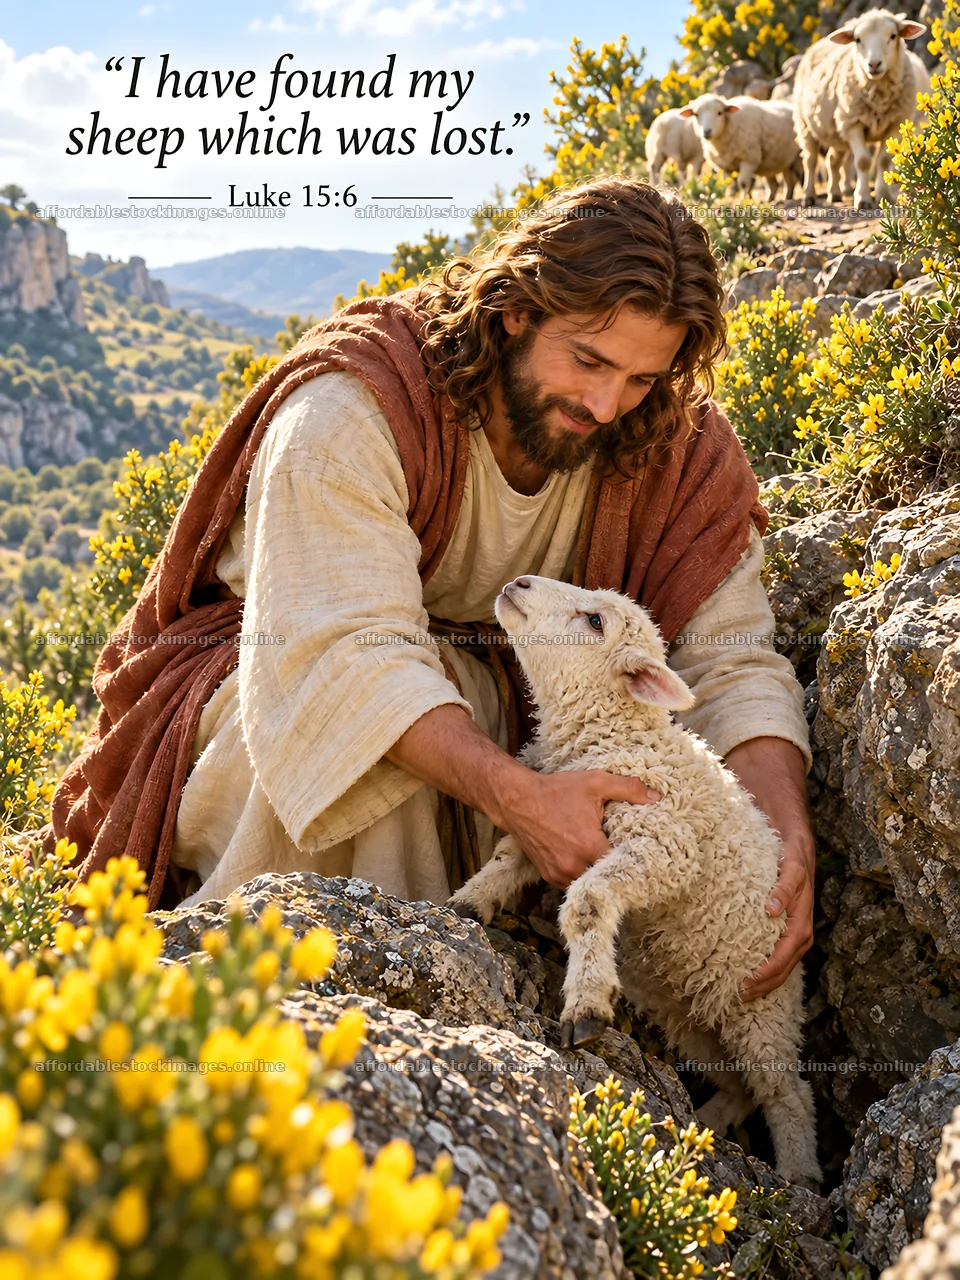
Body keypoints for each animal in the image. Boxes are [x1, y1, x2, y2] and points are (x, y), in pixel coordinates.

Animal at [449, 575, 822, 1190]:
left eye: (595, 621)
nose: (517, 584)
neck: (611, 733)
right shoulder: (548, 814)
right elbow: (506, 859)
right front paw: (467, 902)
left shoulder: (665, 844)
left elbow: (587, 901)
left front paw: (586, 1006)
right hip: (689, 1012)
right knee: (739, 1081)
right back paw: (709, 1123)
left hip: (763, 999)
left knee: (783, 1090)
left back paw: (797, 1172)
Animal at [792, 8, 927, 210]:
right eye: (857, 39)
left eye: (893, 35)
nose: (874, 64)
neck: (878, 96)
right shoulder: (853, 123)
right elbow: (863, 162)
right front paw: (862, 198)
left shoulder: (894, 123)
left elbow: (883, 160)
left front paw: (883, 195)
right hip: (805, 126)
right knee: (810, 160)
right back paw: (808, 196)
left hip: (836, 133)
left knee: (832, 160)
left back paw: (835, 193)